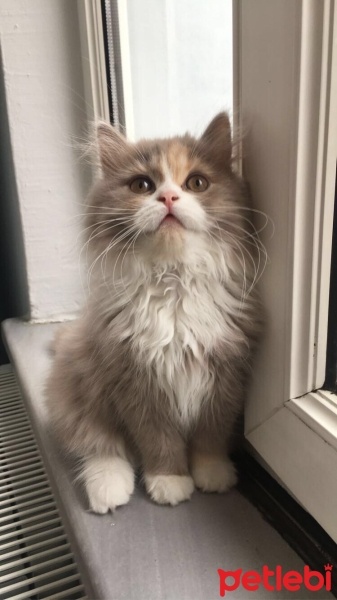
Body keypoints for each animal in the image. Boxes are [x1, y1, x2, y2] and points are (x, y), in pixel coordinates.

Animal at [45, 112, 260, 510]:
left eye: (196, 182)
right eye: (142, 185)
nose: (169, 197)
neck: (172, 284)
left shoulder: (226, 374)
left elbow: (211, 434)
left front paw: (212, 474)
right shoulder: (136, 381)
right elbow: (158, 441)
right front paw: (170, 481)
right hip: (77, 387)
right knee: (99, 446)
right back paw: (108, 490)